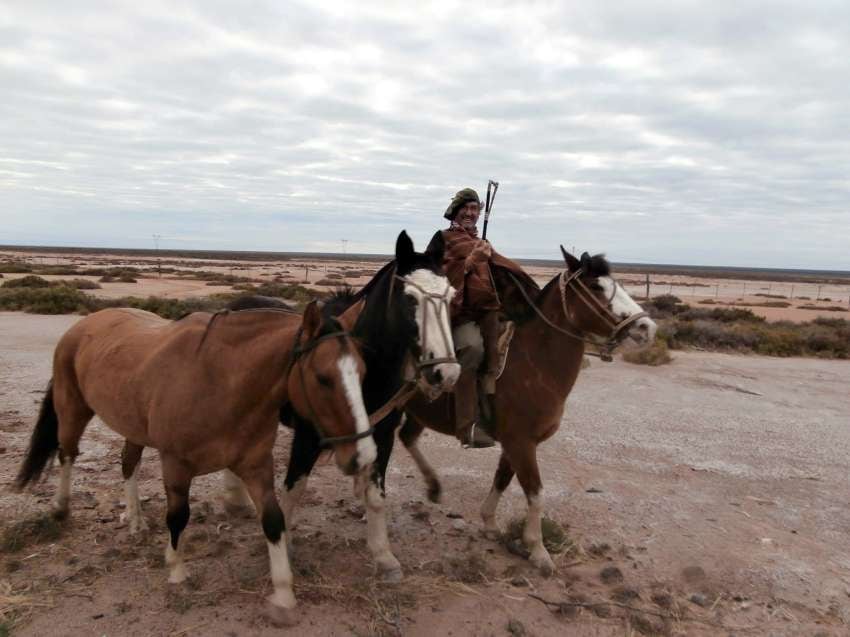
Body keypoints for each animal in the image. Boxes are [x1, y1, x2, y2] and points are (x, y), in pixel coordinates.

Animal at [13, 300, 372, 624]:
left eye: (363, 373)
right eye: (323, 378)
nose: (364, 456)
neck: (219, 382)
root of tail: (85, 324)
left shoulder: (256, 466)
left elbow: (273, 521)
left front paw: (283, 596)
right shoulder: (176, 465)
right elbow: (178, 516)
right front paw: (176, 570)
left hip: (133, 428)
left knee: (128, 464)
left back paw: (135, 520)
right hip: (73, 408)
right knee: (67, 454)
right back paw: (61, 507)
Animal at [398, 247, 656, 572]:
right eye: (596, 286)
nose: (646, 327)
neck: (533, 363)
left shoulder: (516, 443)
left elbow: (503, 478)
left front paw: (490, 524)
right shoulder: (521, 442)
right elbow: (535, 493)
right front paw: (538, 550)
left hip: (416, 414)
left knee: (407, 438)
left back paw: (433, 486)